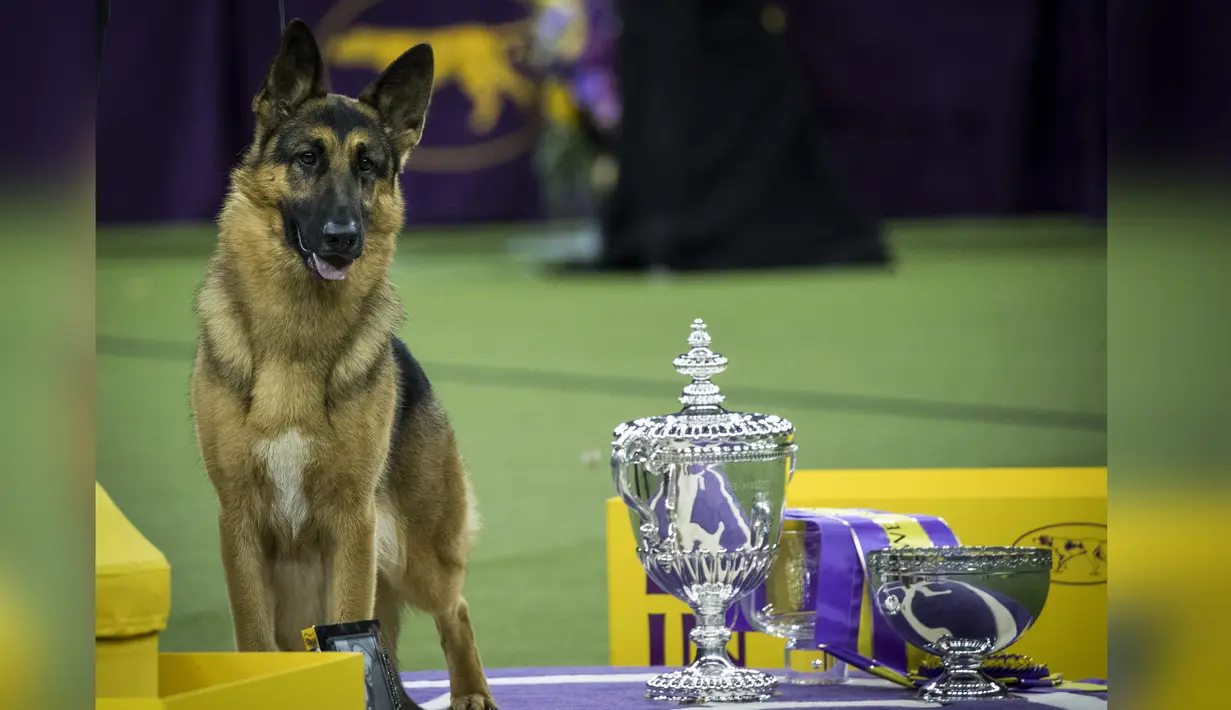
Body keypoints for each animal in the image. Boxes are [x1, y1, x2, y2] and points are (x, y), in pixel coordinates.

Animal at [189, 20, 497, 708]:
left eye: (368, 168)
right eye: (308, 159)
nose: (343, 238)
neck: (295, 339)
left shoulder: (352, 524)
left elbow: (355, 624)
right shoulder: (238, 526)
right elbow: (252, 637)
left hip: (416, 556)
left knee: (456, 610)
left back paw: (470, 691)